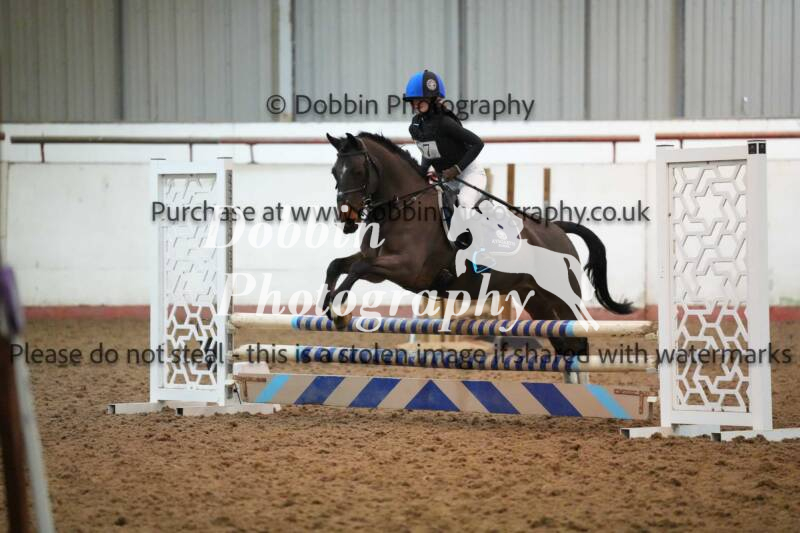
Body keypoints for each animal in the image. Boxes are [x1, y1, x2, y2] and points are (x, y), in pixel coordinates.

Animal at [323, 132, 632, 358]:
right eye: (335, 172)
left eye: (358, 171)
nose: (346, 217)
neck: (403, 206)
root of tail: (557, 229)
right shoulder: (378, 267)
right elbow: (338, 265)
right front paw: (328, 307)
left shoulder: (406, 268)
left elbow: (357, 268)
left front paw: (339, 312)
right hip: (535, 299)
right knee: (564, 342)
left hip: (561, 296)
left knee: (577, 339)